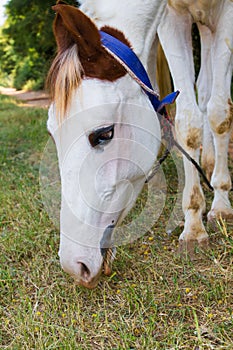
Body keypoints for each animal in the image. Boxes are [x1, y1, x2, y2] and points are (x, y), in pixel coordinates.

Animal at [46, 1, 232, 288]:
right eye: (53, 135)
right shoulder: (171, 18)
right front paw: (193, 220)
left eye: (104, 134)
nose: (74, 265)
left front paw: (217, 208)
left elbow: (217, 115)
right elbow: (189, 119)